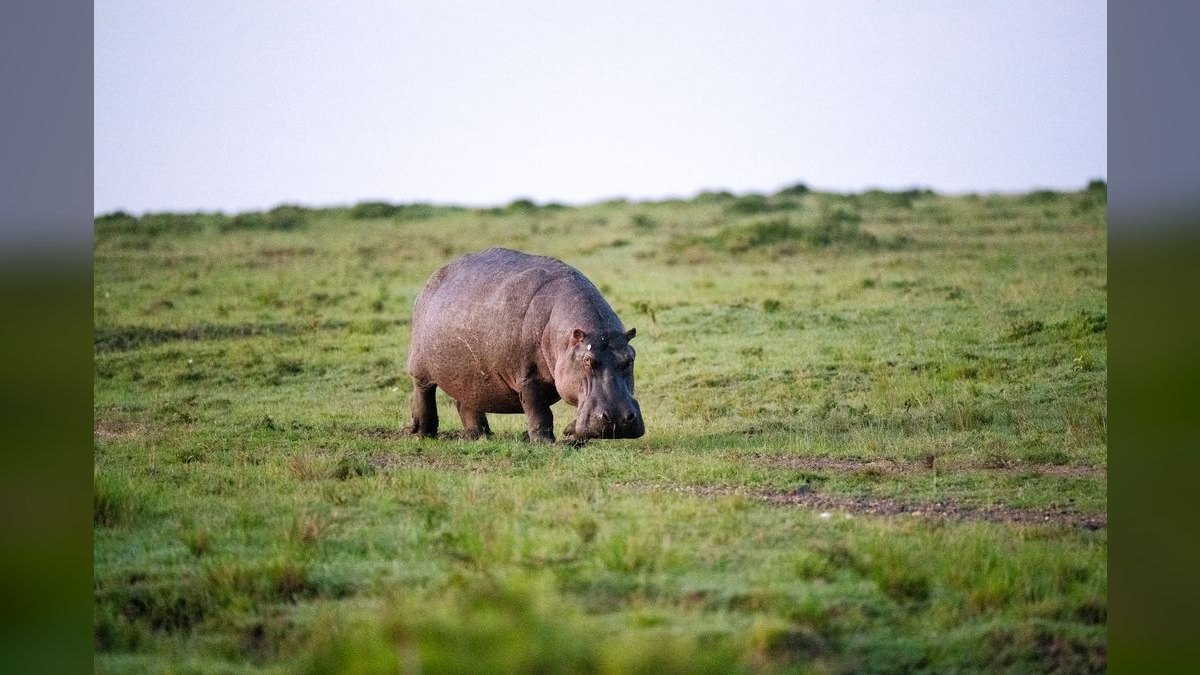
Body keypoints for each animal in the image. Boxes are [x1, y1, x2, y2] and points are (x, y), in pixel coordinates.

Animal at [406, 248, 644, 442]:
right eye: (587, 360)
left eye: (630, 358)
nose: (618, 420)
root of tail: (435, 275)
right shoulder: (528, 376)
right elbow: (539, 412)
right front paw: (544, 443)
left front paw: (570, 432)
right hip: (420, 367)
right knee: (424, 394)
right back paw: (423, 434)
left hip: (469, 373)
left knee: (467, 403)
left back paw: (481, 436)